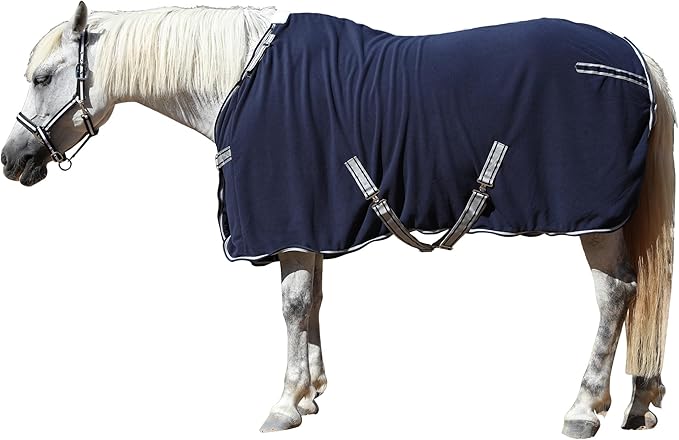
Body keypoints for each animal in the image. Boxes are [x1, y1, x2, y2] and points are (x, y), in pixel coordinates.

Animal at [1, 2, 675, 438]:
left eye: (42, 77)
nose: (13, 160)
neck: (239, 79)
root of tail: (635, 57)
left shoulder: (289, 221)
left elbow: (293, 304)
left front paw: (283, 404)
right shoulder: (312, 224)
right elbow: (314, 301)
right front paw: (311, 395)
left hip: (595, 222)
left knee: (615, 295)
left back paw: (583, 409)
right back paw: (639, 402)